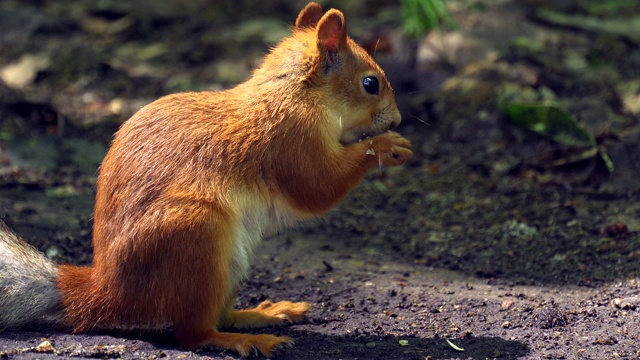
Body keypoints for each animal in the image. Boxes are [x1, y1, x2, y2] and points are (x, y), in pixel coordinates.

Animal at [0, 2, 410, 358]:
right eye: (370, 83)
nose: (397, 119)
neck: (295, 94)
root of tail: (107, 293)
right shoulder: (292, 140)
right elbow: (318, 186)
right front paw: (386, 145)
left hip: (231, 260)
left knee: (219, 314)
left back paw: (262, 313)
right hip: (196, 234)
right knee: (193, 333)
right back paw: (244, 340)